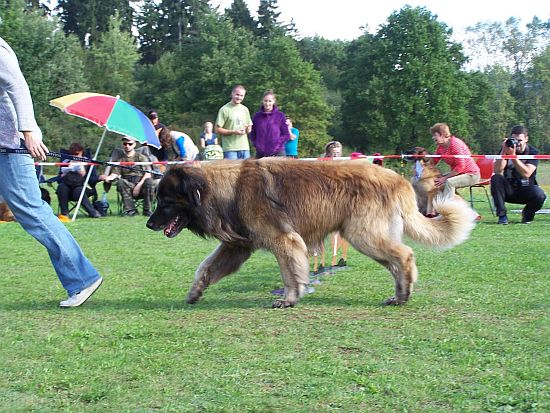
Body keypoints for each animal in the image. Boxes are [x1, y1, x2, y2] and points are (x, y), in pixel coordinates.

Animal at [147, 159, 478, 308]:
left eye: (165, 201)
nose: (149, 224)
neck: (229, 188)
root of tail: (397, 179)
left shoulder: (284, 240)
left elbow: (290, 273)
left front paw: (290, 298)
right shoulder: (237, 246)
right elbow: (206, 267)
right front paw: (195, 292)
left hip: (364, 236)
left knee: (405, 256)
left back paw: (404, 294)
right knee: (396, 263)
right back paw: (399, 295)